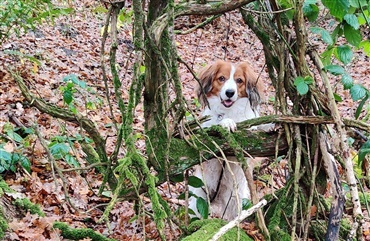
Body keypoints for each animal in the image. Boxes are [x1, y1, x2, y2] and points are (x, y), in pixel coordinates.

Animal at [188, 59, 264, 220]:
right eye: (221, 78)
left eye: (239, 80)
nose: (230, 92)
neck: (229, 111)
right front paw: (226, 123)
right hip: (199, 195)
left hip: (237, 202)